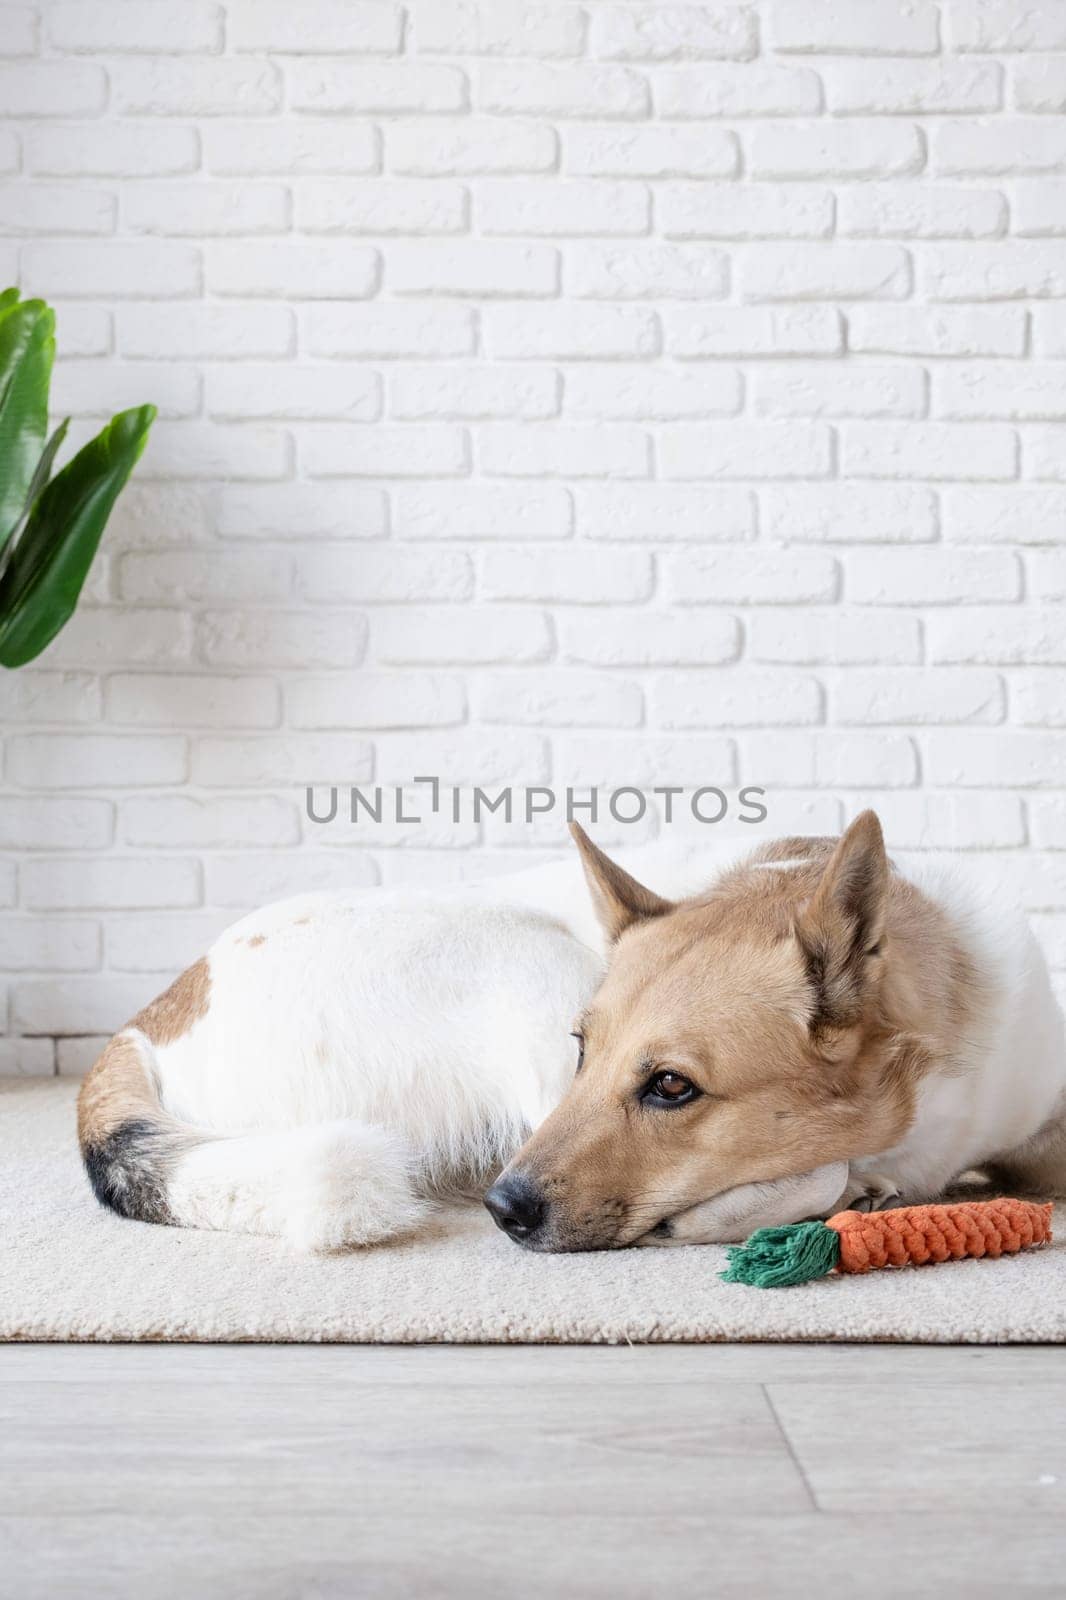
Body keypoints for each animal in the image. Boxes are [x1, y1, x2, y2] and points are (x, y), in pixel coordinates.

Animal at [76, 819, 1062, 1254]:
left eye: (672, 1085)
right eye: (587, 1049)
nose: (505, 1215)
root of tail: (148, 1023)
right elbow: (819, 1169)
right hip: (524, 955)